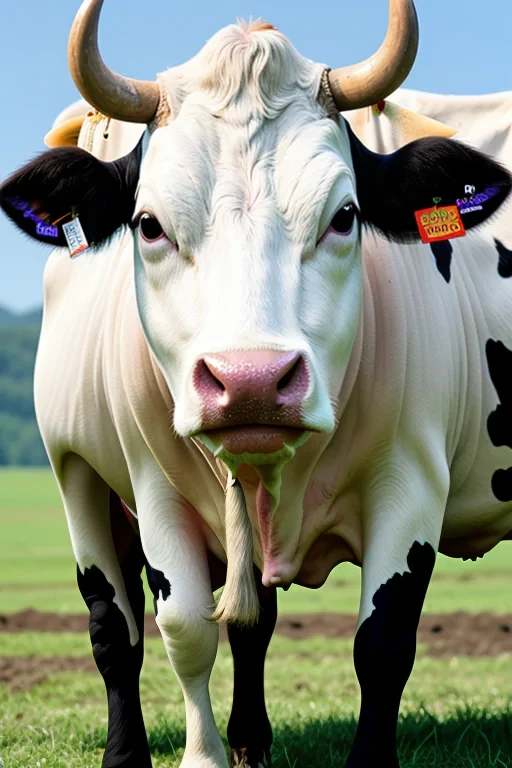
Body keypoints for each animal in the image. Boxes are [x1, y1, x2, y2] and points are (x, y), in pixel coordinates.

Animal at [2, 1, 512, 767]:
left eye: (345, 216)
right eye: (148, 225)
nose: (251, 382)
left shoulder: (413, 477)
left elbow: (382, 642)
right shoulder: (136, 483)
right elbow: (182, 628)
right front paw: (205, 755)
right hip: (85, 482)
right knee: (120, 630)